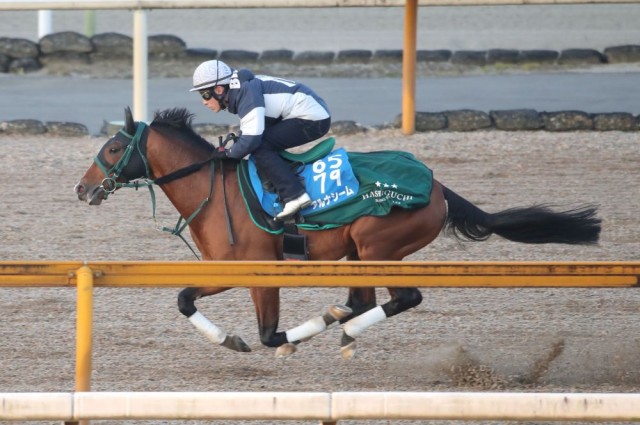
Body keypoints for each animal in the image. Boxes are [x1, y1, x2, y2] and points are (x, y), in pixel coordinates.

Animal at [74, 108, 600, 358]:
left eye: (115, 147)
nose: (82, 188)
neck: (212, 187)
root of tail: (437, 186)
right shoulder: (230, 269)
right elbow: (185, 299)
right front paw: (237, 339)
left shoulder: (257, 269)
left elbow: (265, 333)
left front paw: (262, 340)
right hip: (360, 254)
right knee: (362, 300)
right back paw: (341, 323)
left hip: (379, 248)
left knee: (404, 298)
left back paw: (343, 328)